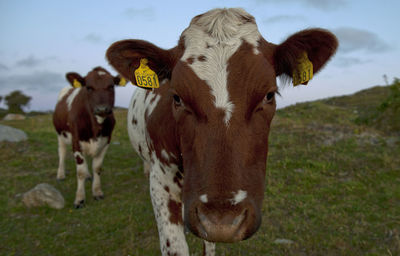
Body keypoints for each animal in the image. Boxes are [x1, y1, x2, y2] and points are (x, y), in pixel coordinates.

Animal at [53, 66, 124, 208]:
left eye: (111, 86)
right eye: (89, 87)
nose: (102, 109)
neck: (96, 126)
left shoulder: (106, 141)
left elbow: (97, 168)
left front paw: (97, 192)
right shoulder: (76, 141)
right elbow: (79, 172)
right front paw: (80, 199)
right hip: (60, 135)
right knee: (62, 152)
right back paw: (61, 174)